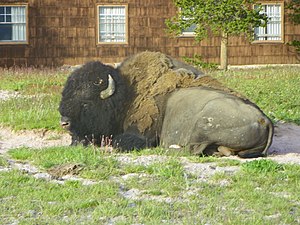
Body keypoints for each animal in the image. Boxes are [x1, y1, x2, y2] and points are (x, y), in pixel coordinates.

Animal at [59, 50, 274, 158]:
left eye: (86, 102)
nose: (64, 122)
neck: (127, 93)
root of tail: (264, 120)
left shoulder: (138, 134)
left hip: (202, 124)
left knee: (193, 149)